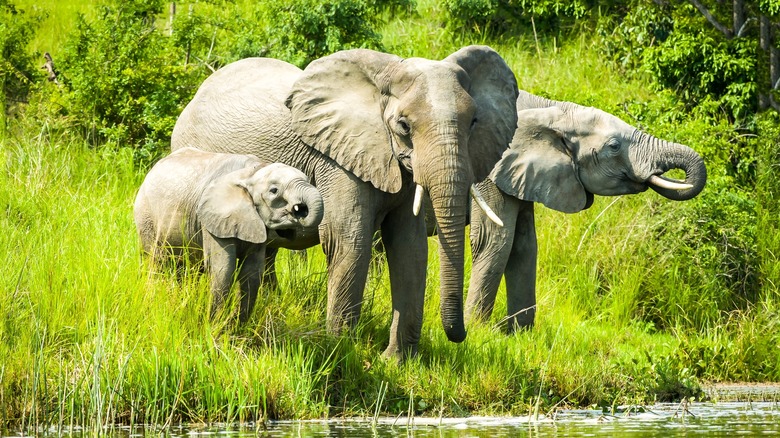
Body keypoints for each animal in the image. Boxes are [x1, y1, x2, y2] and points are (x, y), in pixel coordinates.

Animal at [134, 147, 322, 322]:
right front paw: (214, 327)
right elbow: (223, 269)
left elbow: (251, 272)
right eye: (274, 191)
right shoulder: (212, 218)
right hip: (145, 216)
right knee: (156, 262)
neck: (252, 171)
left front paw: (233, 326)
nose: (300, 210)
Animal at [174, 47, 520, 360]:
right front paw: (343, 352)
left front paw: (397, 361)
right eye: (404, 126)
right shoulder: (338, 160)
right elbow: (348, 240)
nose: (461, 334)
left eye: (474, 121)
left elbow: (409, 247)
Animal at [464, 91, 708, 332]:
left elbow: (524, 244)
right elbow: (493, 240)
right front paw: (478, 331)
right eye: (614, 146)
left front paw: (520, 334)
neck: (550, 109)